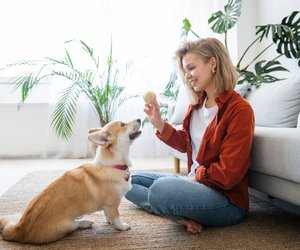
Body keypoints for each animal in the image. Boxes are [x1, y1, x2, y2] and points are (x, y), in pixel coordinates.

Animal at [0, 119, 142, 244]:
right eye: (122, 124)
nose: (139, 119)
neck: (113, 165)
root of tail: (19, 230)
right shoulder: (112, 204)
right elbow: (116, 217)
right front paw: (122, 227)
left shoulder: (108, 206)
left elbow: (108, 216)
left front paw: (110, 221)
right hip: (68, 224)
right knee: (75, 225)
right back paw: (85, 222)